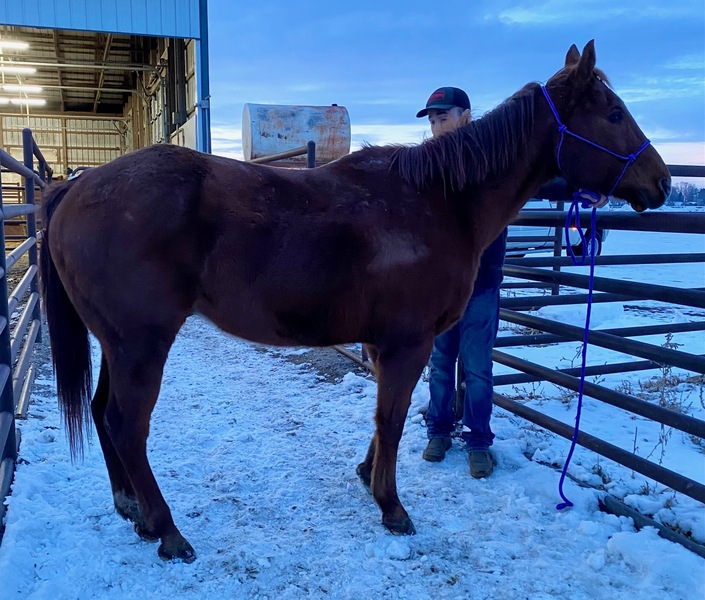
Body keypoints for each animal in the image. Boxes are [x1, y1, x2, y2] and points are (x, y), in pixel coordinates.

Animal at [39, 41, 671, 562]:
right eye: (614, 114)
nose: (661, 181)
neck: (440, 201)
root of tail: (77, 186)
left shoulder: (385, 342)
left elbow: (382, 417)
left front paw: (368, 475)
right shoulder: (409, 342)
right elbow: (392, 419)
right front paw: (392, 506)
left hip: (118, 343)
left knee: (103, 412)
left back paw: (134, 512)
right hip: (142, 344)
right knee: (127, 425)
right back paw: (167, 531)